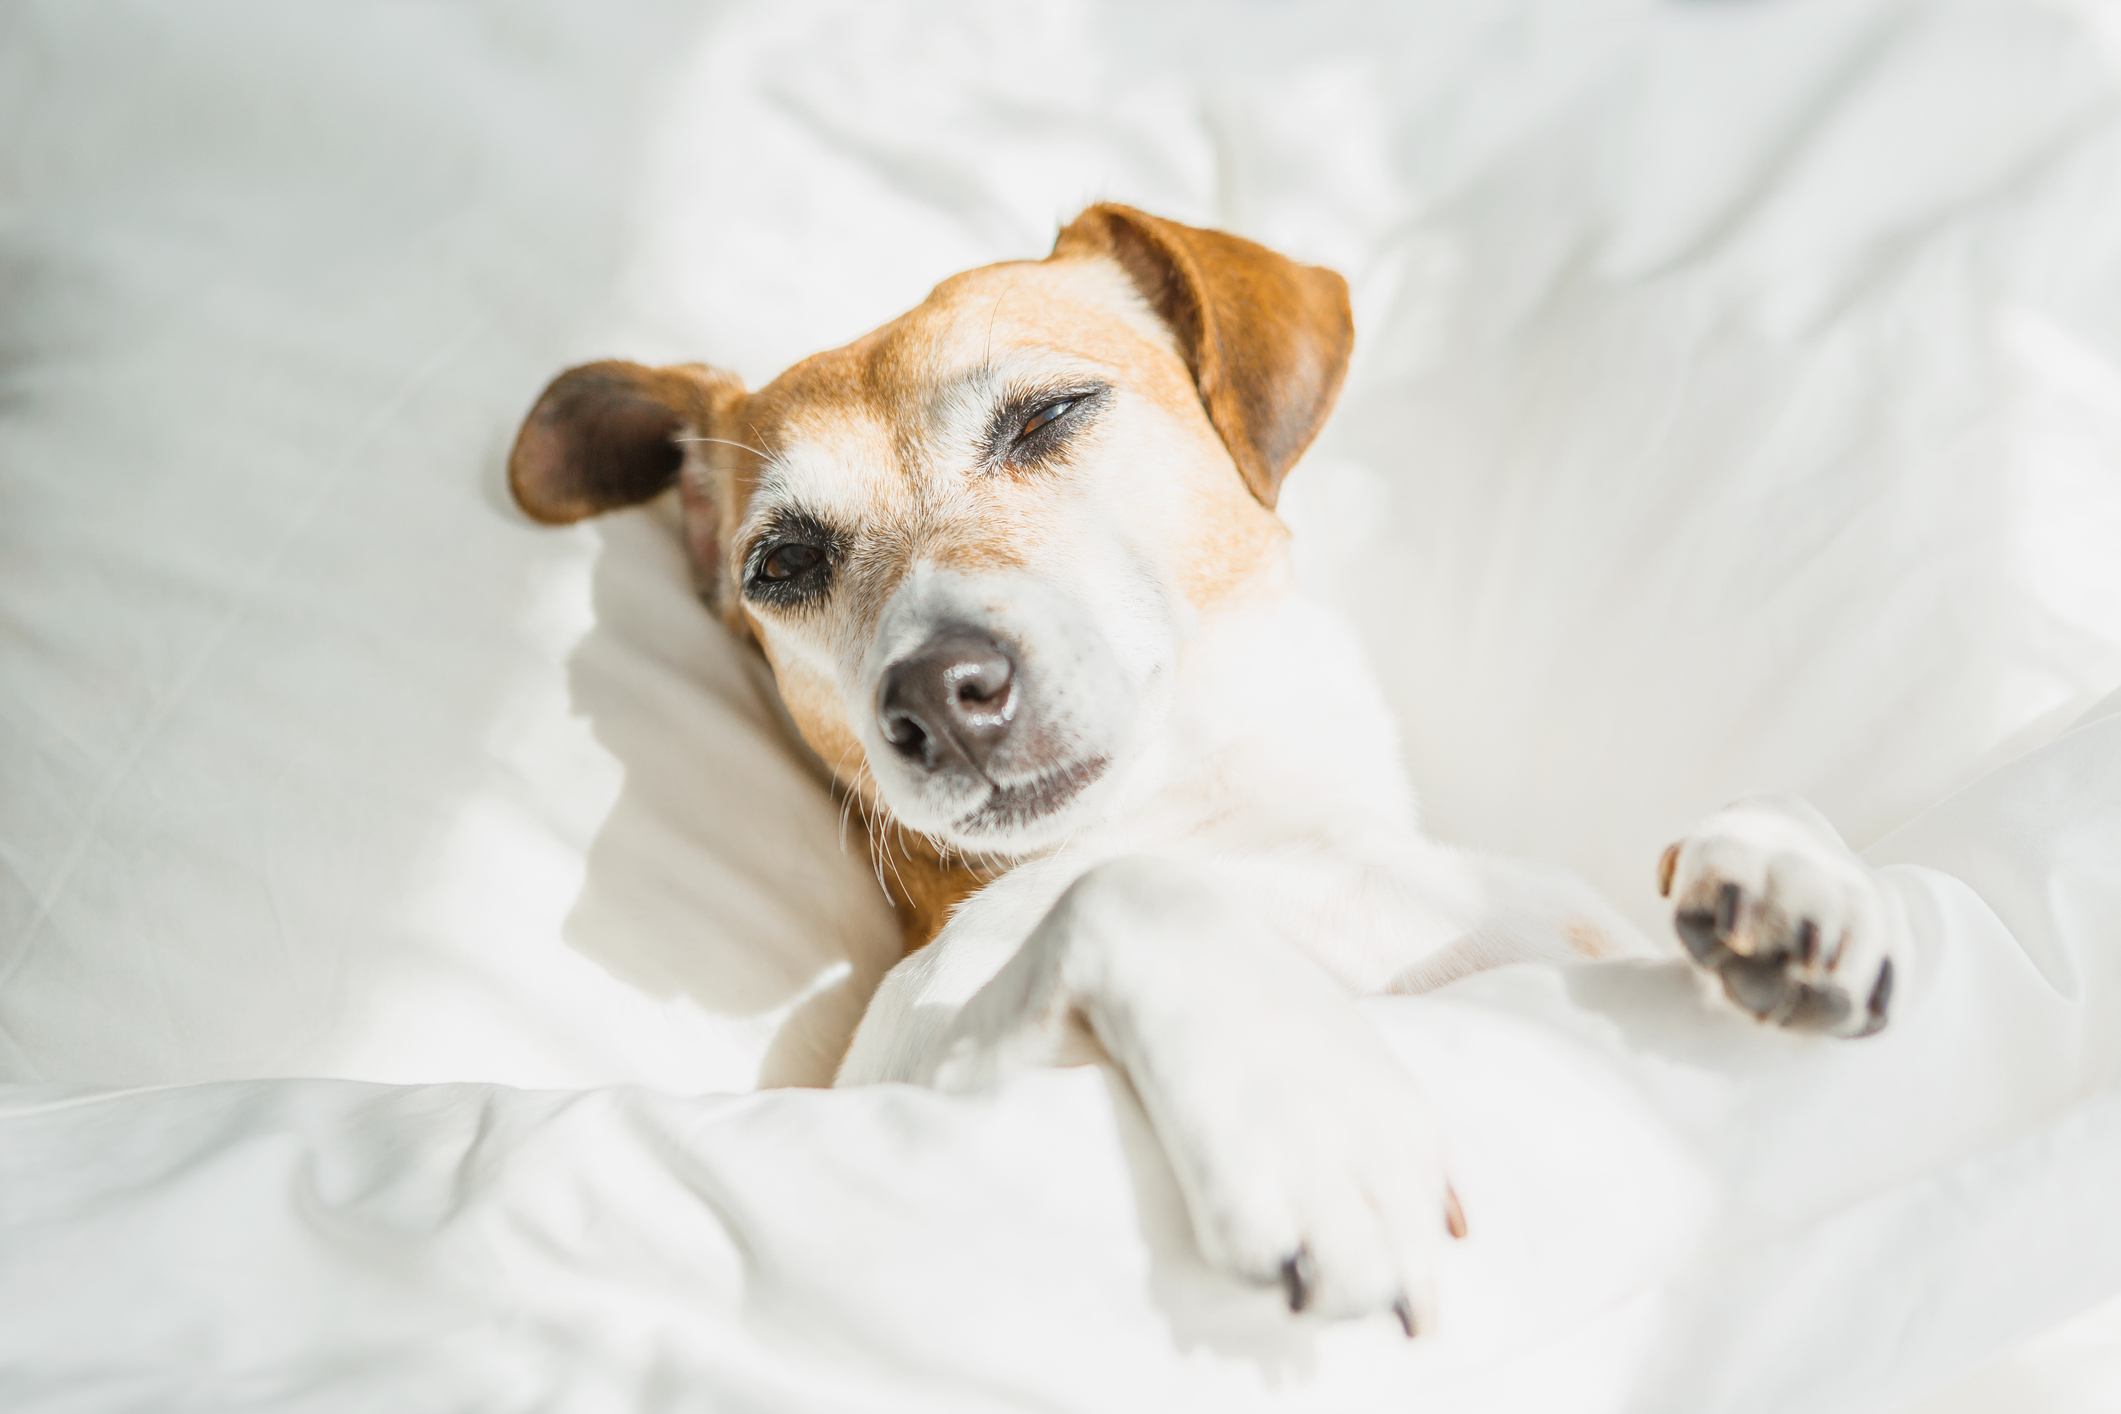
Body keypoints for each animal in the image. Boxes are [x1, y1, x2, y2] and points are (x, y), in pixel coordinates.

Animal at [509, 201, 1908, 1339]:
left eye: (1049, 414)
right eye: (783, 563)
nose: (937, 697)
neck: (1237, 822)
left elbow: (1751, 821)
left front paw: (1791, 878)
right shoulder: (902, 1092)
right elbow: (1129, 896)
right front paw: (1310, 1119)